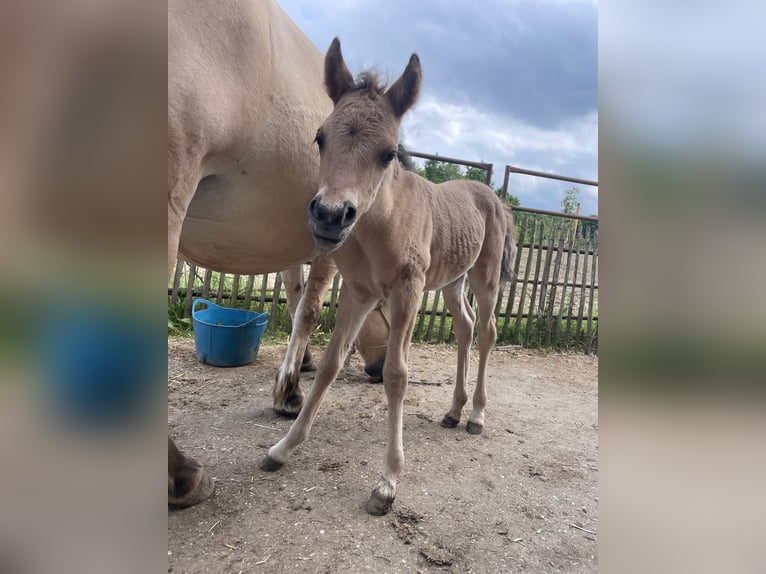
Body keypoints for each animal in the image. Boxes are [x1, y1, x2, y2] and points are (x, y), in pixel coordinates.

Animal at [167, 0, 389, 507]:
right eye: (381, 310)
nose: (381, 370)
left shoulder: (298, 247)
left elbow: (292, 297)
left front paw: (299, 366)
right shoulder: (329, 244)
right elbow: (308, 309)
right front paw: (288, 393)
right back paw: (180, 474)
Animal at [261, 38, 516, 516]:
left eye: (388, 153)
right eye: (320, 138)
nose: (329, 215)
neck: (380, 223)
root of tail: (492, 195)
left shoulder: (406, 292)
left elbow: (397, 374)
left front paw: (387, 482)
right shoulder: (359, 293)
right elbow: (330, 362)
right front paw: (283, 447)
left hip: (484, 278)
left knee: (488, 331)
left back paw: (476, 415)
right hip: (451, 282)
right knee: (465, 326)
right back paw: (453, 411)